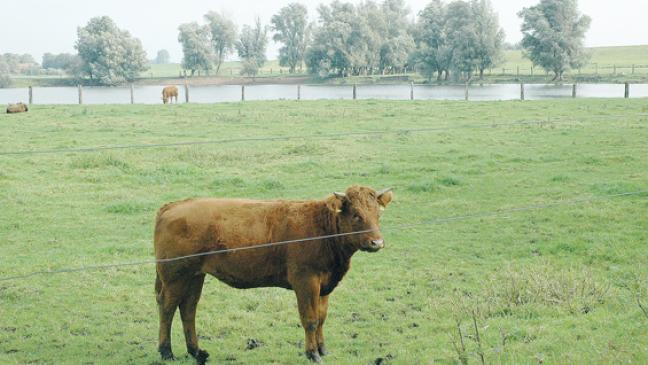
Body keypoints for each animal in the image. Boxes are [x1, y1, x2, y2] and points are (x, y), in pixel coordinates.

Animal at [154, 186, 392, 362]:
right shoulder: (306, 281)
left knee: (188, 309)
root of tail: (173, 206)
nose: (377, 242)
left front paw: (323, 349)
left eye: (378, 214)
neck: (322, 228)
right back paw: (166, 352)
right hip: (175, 277)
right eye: (356, 215)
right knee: (167, 307)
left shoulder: (324, 285)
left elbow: (322, 318)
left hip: (194, 276)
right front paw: (312, 353)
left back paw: (196, 351)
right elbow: (310, 319)